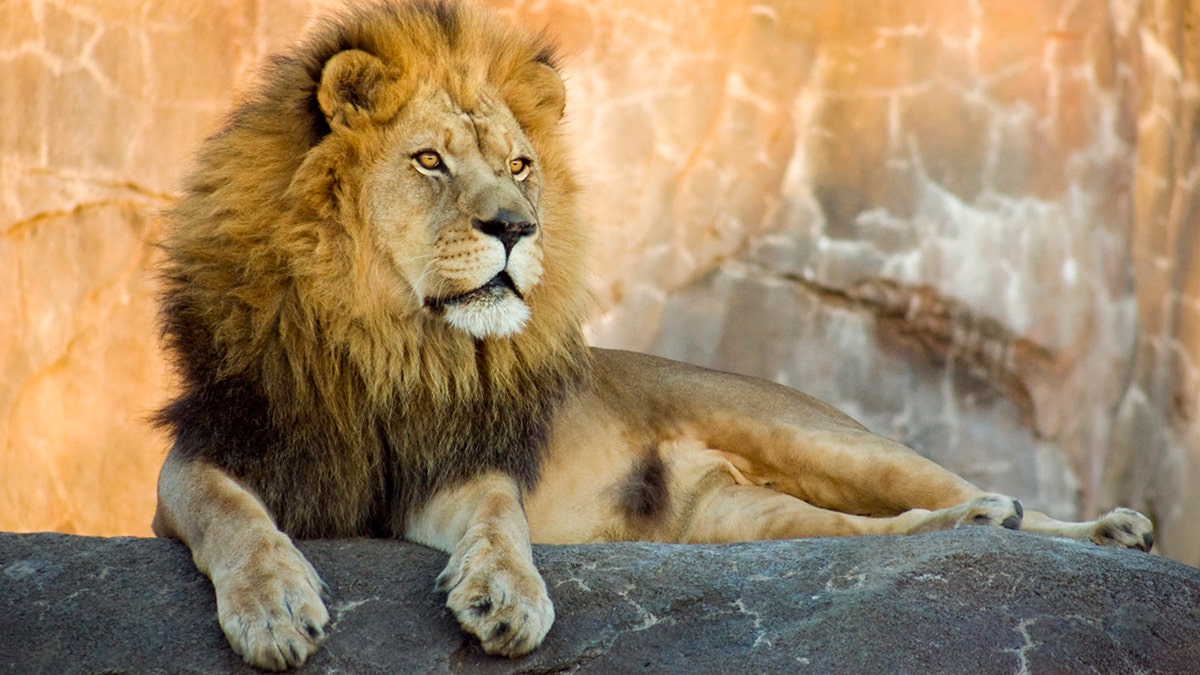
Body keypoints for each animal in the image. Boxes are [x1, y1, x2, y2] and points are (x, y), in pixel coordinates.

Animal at [150, 0, 1152, 662]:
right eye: (430, 160)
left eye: (520, 164)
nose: (516, 226)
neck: (396, 342)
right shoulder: (208, 453)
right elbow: (232, 516)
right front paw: (275, 608)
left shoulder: (461, 464)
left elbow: (499, 516)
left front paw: (507, 595)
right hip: (740, 522)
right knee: (868, 534)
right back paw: (979, 522)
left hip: (822, 438)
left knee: (951, 492)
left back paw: (1088, 526)